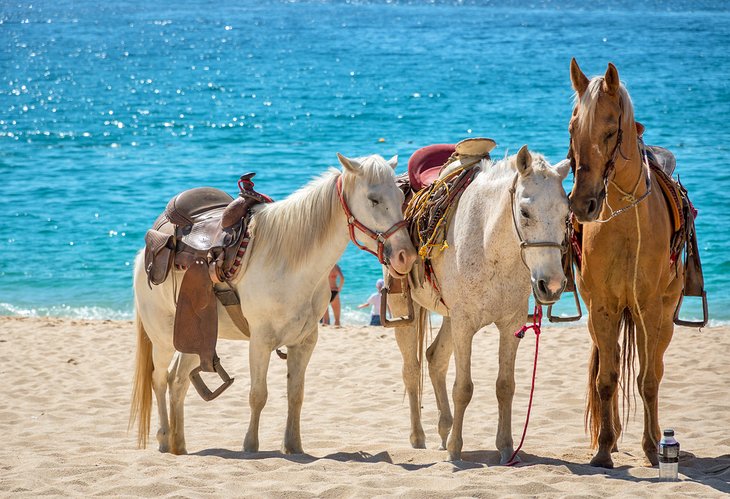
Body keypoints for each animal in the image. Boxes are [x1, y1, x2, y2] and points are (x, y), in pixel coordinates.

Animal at [129, 154, 416, 456]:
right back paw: (163, 438)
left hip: (194, 338)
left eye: (400, 195)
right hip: (163, 338)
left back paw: (179, 445)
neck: (289, 263)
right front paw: (250, 446)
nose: (405, 256)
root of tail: (146, 251)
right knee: (159, 379)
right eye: (373, 199)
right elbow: (258, 395)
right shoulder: (260, 341)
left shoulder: (305, 341)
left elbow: (296, 394)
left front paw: (293, 446)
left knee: (178, 381)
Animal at [386, 147, 568, 464]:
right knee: (411, 369)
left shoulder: (510, 326)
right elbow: (463, 388)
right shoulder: (465, 326)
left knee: (434, 359)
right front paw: (455, 451)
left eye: (566, 213)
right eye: (525, 212)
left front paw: (506, 448)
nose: (553, 285)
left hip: (449, 317)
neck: (488, 242)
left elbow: (505, 386)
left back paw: (443, 430)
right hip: (405, 309)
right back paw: (418, 437)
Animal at [564, 59, 684, 468]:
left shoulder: (648, 309)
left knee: (655, 369)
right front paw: (603, 450)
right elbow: (606, 379)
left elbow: (647, 379)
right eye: (573, 129)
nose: (582, 204)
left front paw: (651, 448)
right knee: (610, 366)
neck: (625, 220)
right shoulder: (602, 308)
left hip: (663, 318)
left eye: (612, 130)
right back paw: (613, 437)